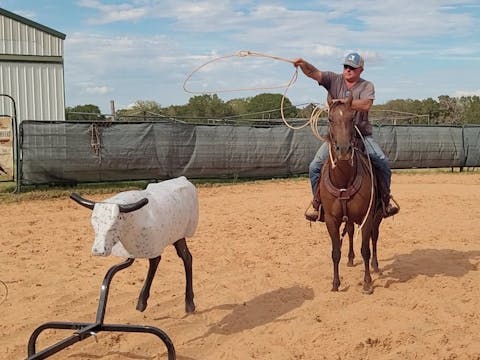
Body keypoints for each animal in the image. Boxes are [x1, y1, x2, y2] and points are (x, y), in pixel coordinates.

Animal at [318, 95, 382, 292]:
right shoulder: (331, 220)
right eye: (330, 119)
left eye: (352, 118)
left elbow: (365, 250)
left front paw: (367, 282)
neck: (343, 181)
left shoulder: (366, 217)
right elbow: (335, 251)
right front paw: (335, 283)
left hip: (377, 215)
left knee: (374, 237)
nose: (344, 150)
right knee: (352, 232)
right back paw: (351, 258)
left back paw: (376, 266)